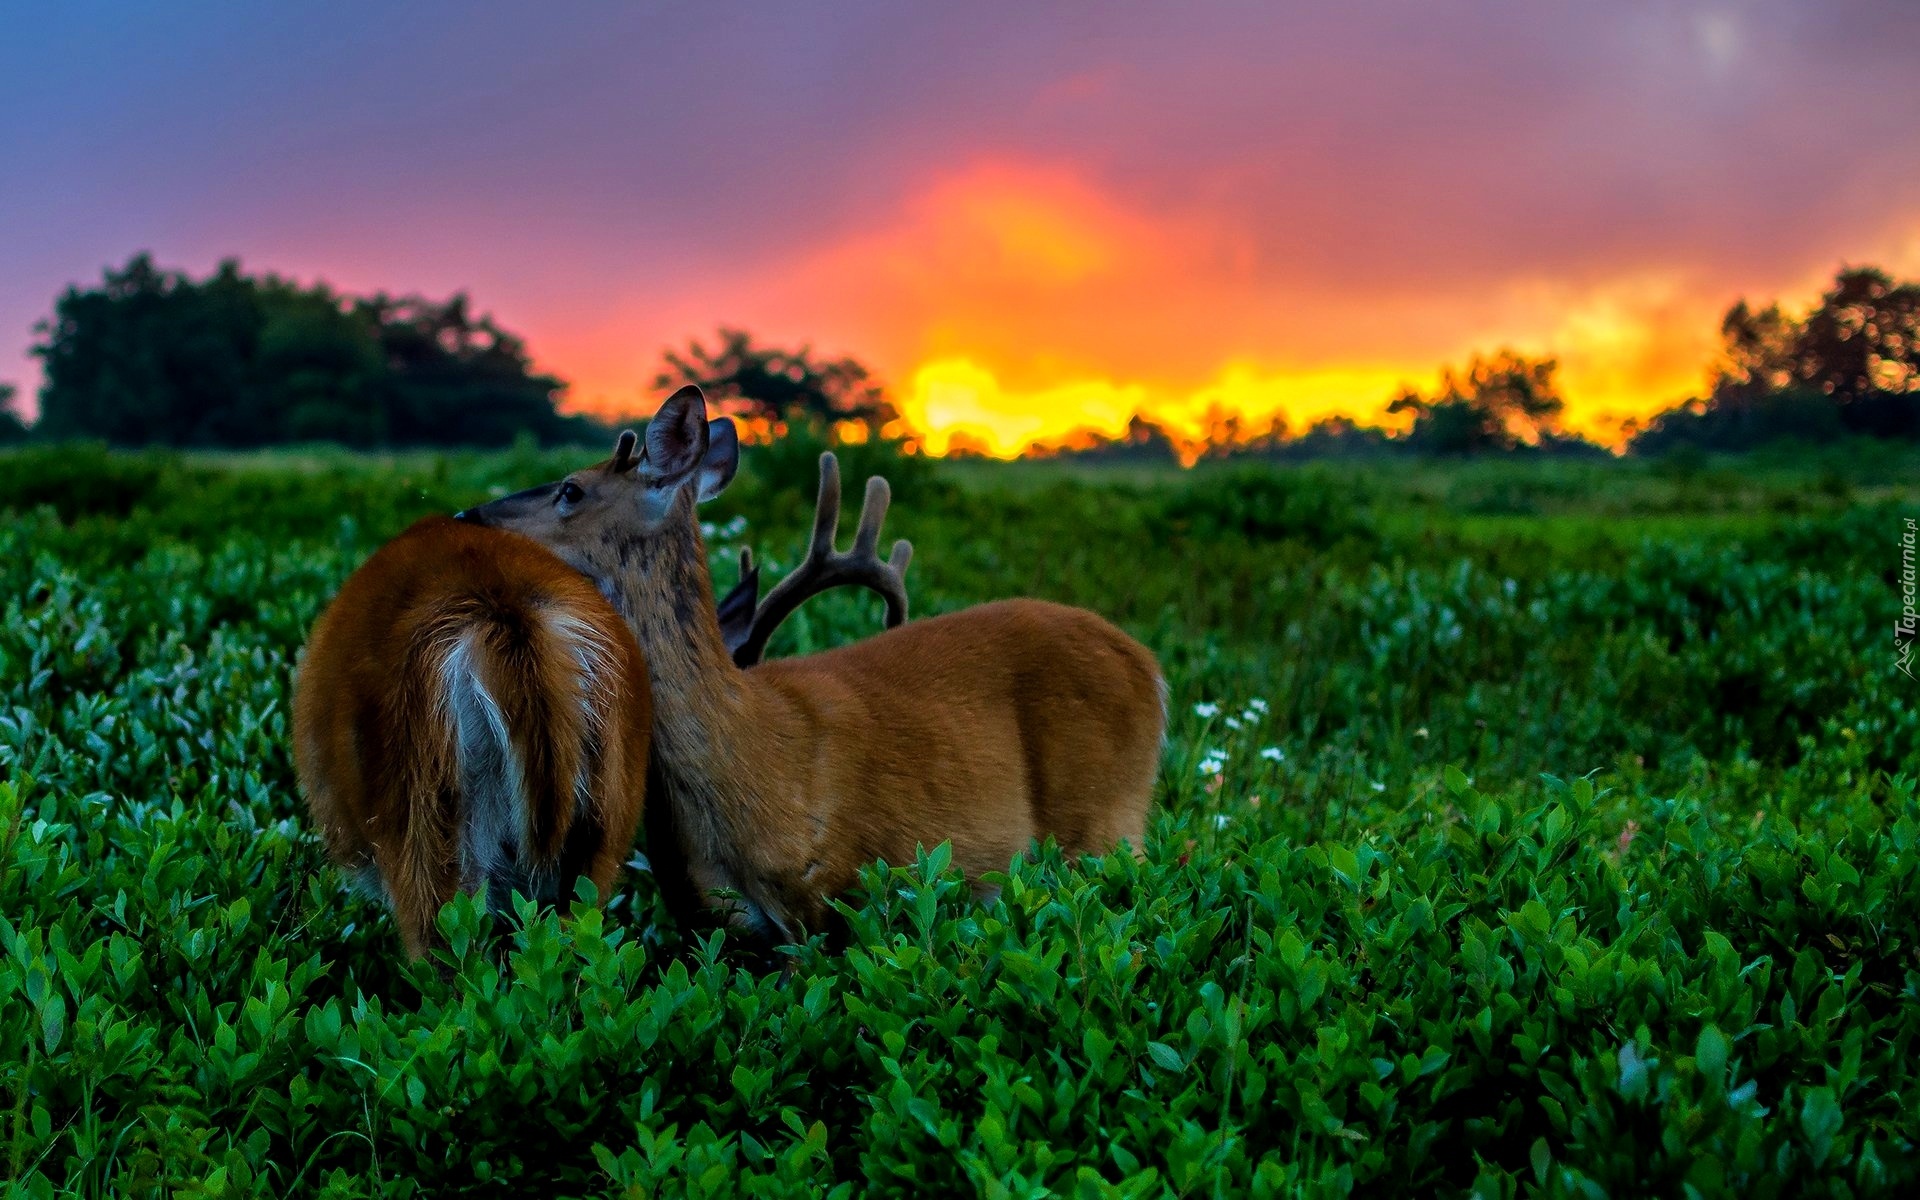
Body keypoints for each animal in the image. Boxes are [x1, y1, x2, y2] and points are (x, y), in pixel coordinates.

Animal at [455, 384, 1159, 944]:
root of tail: (1147, 664)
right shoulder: (712, 922)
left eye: (571, 489)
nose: (467, 513)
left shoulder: (820, 899)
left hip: (1107, 822)